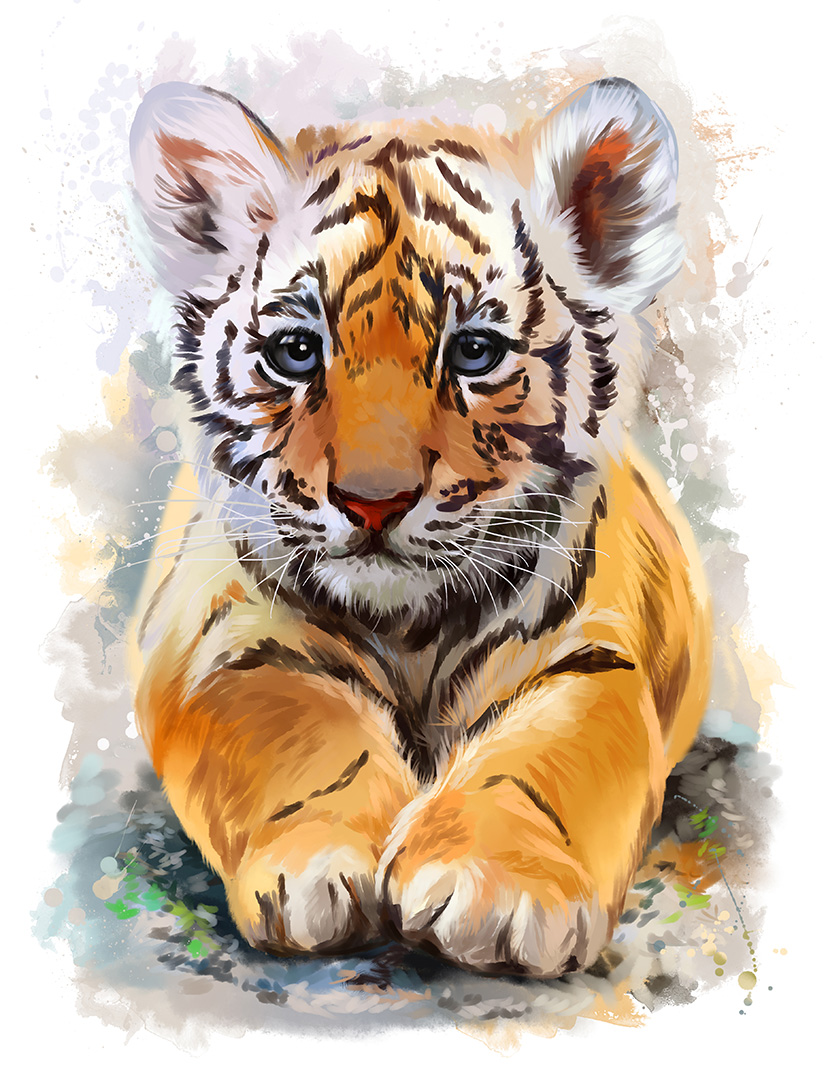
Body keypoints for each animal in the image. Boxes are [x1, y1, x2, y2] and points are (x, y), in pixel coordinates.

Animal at [127, 76, 711, 979]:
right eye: (297, 352)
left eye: (473, 353)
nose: (374, 501)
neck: (410, 628)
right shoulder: (223, 641)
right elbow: (302, 732)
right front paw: (324, 861)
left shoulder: (592, 654)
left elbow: (543, 763)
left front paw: (498, 889)